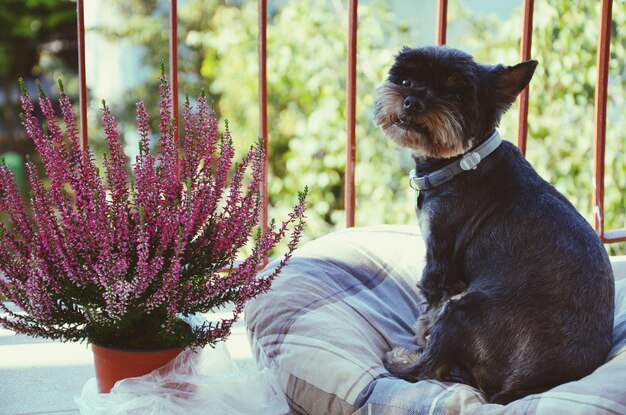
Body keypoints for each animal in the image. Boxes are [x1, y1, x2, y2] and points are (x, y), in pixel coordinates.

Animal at [372, 46, 612, 406]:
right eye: (406, 81)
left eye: (456, 95)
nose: (412, 100)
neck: (463, 162)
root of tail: (527, 384)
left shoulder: (440, 261)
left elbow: (429, 312)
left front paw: (418, 338)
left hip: (463, 309)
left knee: (428, 369)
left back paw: (401, 360)